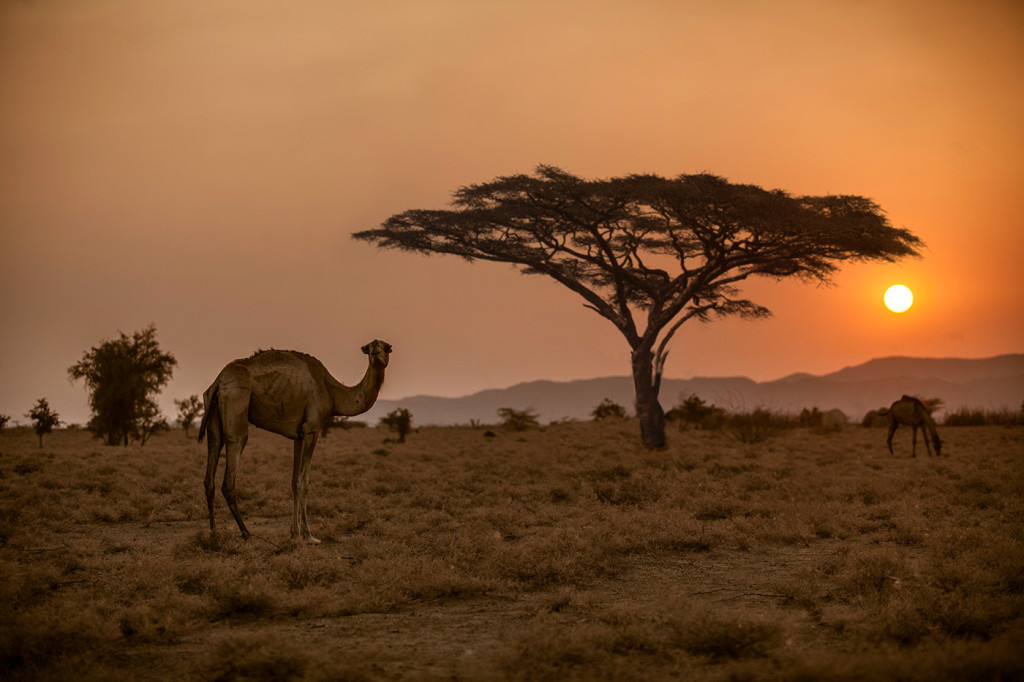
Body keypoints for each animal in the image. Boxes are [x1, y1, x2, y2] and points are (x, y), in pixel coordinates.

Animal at [199, 337, 391, 540]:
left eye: (388, 347)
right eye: (369, 347)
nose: (376, 351)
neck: (331, 392)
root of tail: (218, 381)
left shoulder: (298, 435)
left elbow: (293, 482)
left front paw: (294, 532)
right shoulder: (312, 429)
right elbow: (303, 482)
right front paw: (309, 534)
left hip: (213, 415)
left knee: (210, 470)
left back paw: (214, 532)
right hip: (236, 403)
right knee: (229, 475)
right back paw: (246, 534)